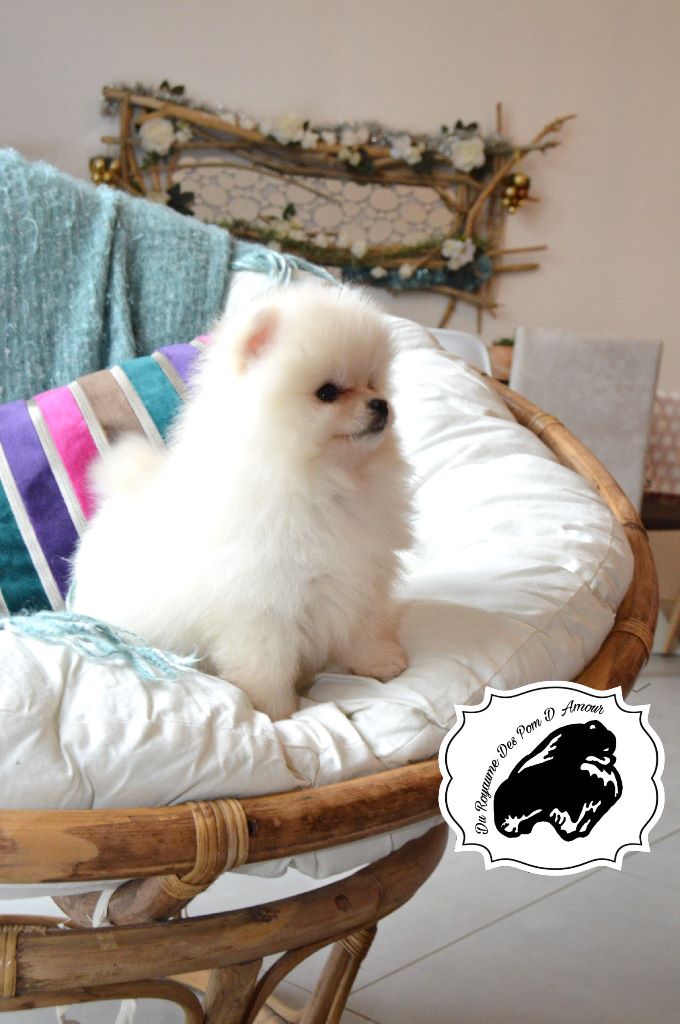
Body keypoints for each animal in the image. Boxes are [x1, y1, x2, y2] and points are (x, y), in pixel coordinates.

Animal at [70, 283, 413, 720]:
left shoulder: (362, 577)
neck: (321, 481)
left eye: (373, 383)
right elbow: (265, 664)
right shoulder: (261, 606)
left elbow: (363, 629)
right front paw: (274, 710)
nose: (380, 405)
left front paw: (380, 662)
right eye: (328, 392)